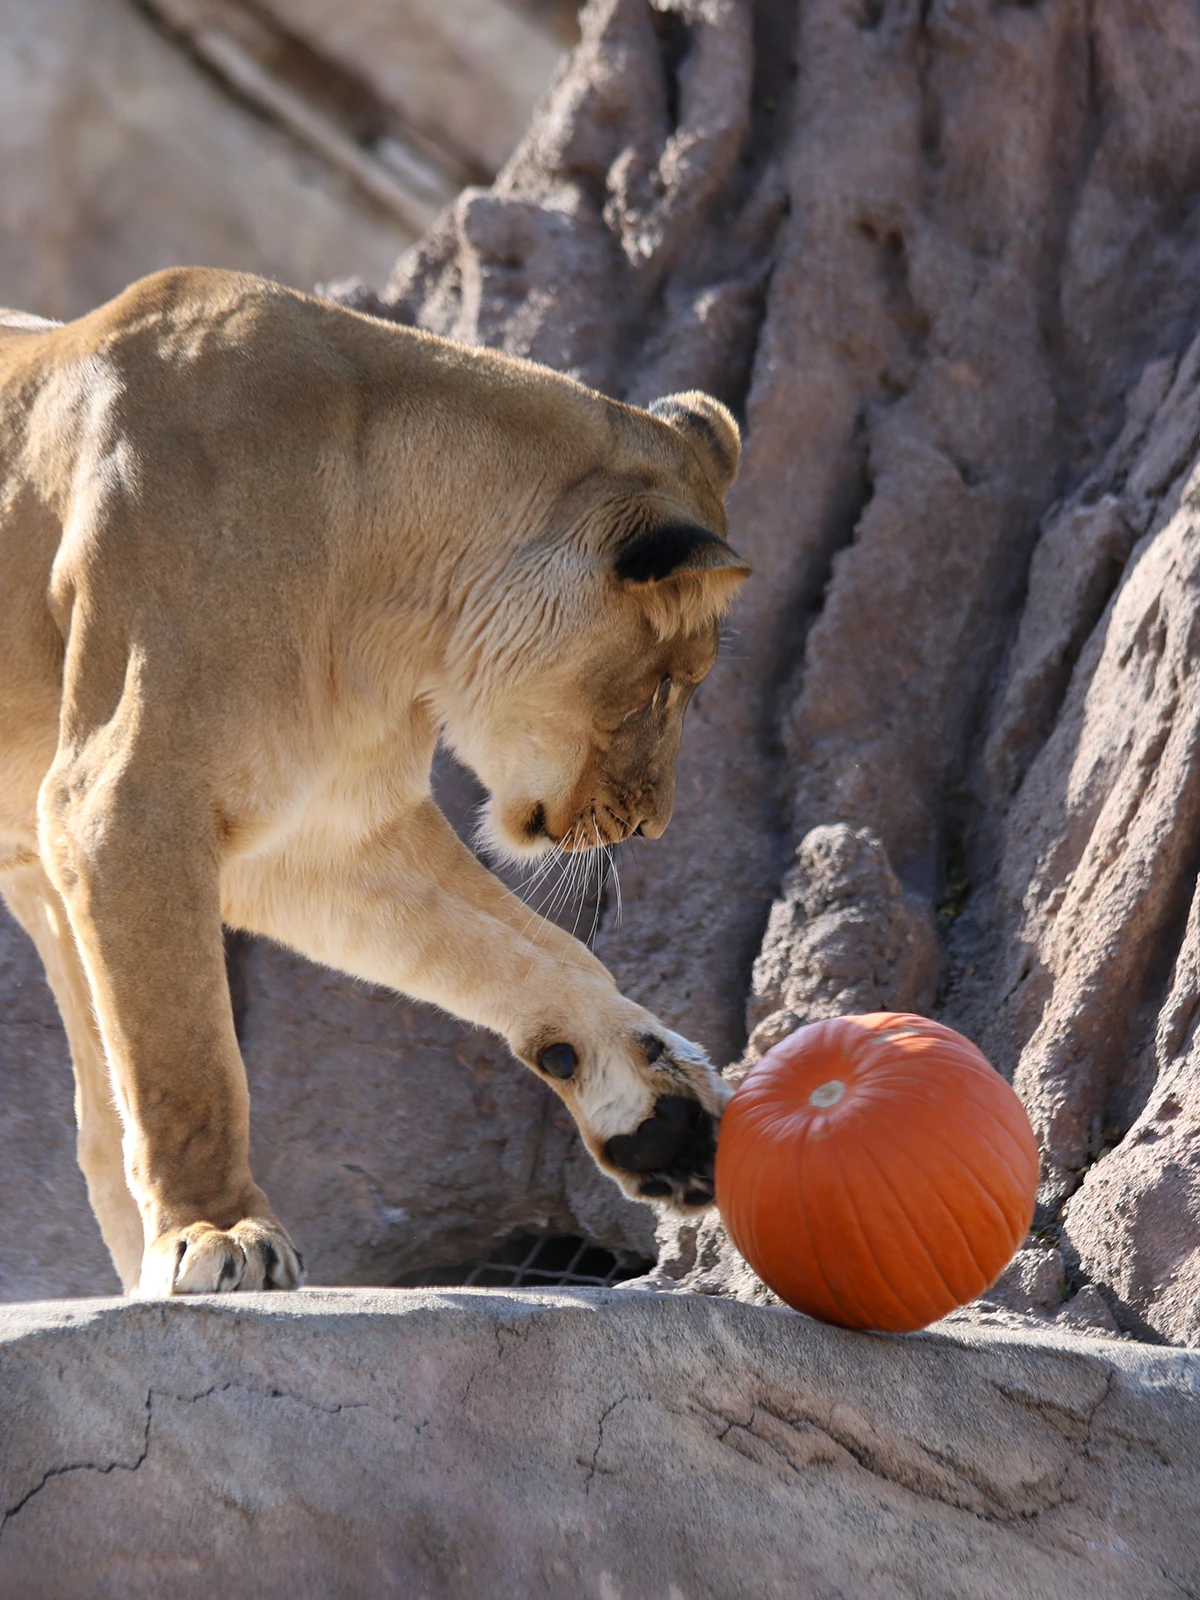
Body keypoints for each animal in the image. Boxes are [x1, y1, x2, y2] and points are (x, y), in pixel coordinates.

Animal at [0, 268, 749, 1296]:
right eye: (670, 684)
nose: (652, 825)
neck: (390, 614)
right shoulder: (122, 799)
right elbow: (188, 1060)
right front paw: (219, 1230)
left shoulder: (321, 840)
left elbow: (540, 953)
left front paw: (664, 1113)